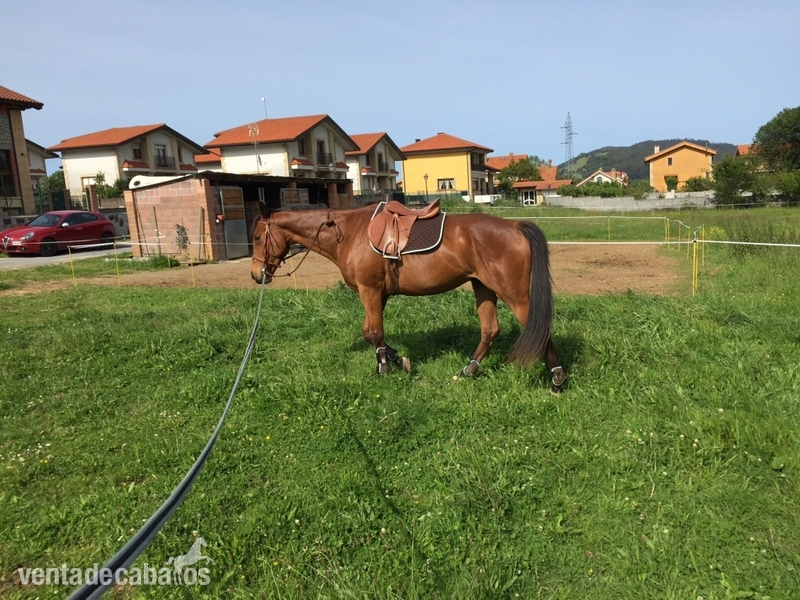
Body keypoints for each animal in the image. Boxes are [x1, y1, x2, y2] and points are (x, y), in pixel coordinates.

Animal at [250, 202, 567, 393]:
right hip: (483, 287)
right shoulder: (378, 293)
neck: (350, 233)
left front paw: (386, 367)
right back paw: (468, 371)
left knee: (540, 329)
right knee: (490, 330)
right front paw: (396, 358)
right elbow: (370, 332)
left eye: (256, 237)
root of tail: (513, 226)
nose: (256, 274)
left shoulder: (369, 290)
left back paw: (557, 379)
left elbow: (374, 333)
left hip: (514, 295)